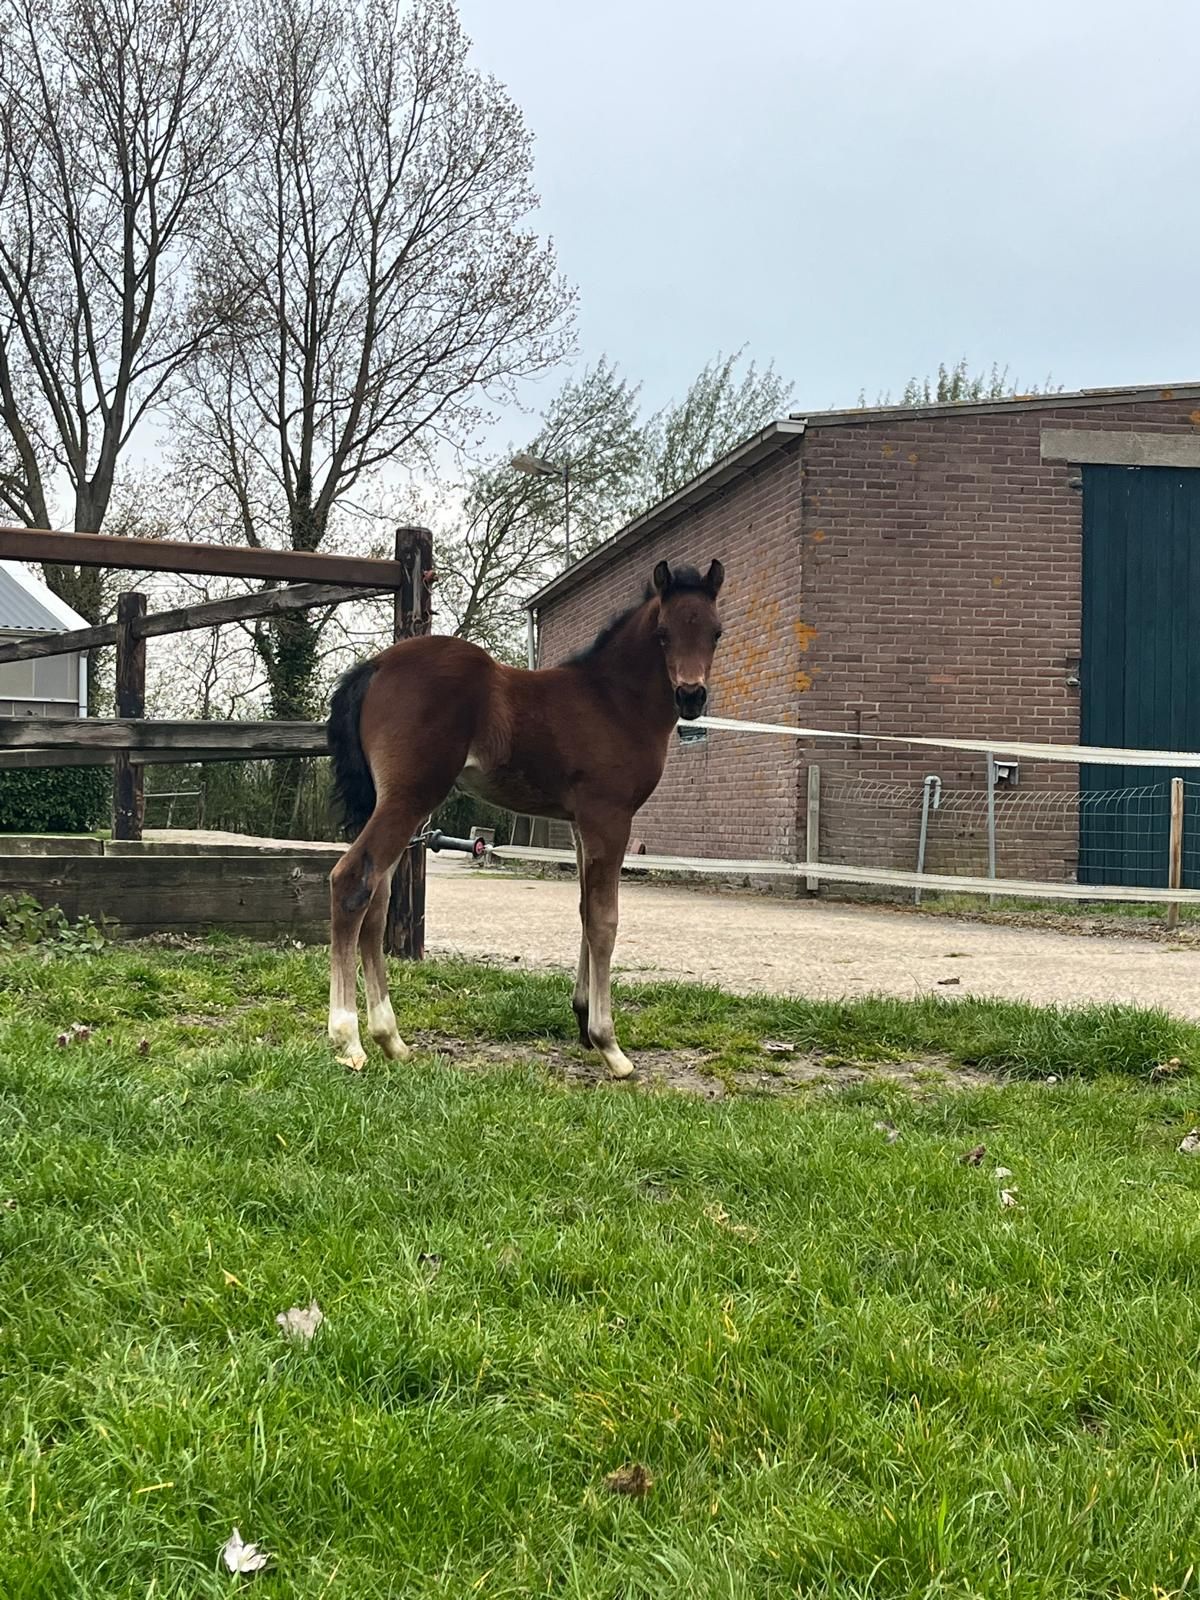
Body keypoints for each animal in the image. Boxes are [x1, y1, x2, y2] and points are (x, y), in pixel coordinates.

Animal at [325, 556, 725, 1077]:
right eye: (662, 633)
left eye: (716, 632)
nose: (692, 696)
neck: (613, 700)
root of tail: (374, 666)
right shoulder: (609, 816)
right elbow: (605, 919)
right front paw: (609, 1044)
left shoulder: (579, 822)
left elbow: (584, 910)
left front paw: (582, 1020)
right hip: (410, 796)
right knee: (353, 881)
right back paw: (348, 1039)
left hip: (398, 802)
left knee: (377, 899)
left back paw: (390, 1039)